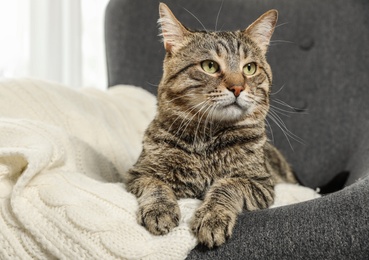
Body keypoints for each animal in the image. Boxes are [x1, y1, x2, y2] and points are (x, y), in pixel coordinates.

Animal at [127, 3, 296, 249]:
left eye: (250, 68)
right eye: (209, 66)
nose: (237, 88)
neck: (207, 139)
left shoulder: (260, 183)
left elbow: (227, 186)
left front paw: (212, 216)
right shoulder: (138, 173)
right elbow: (156, 185)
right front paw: (160, 209)